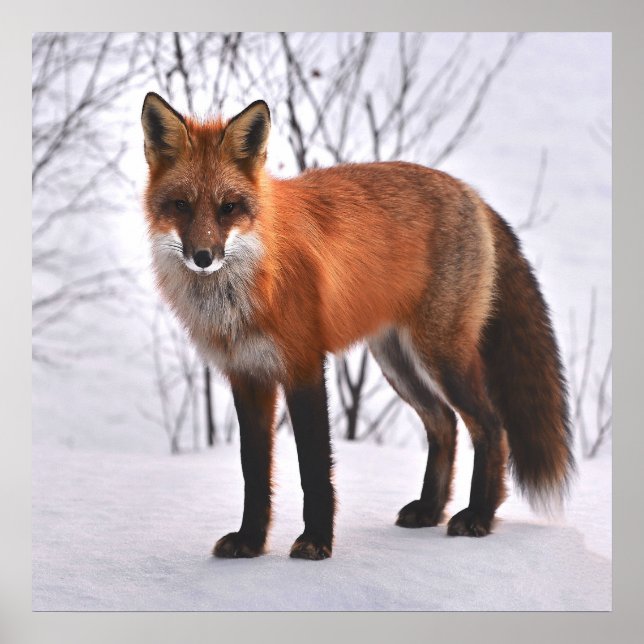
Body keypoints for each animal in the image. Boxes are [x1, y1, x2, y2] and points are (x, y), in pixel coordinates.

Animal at [141, 92, 574, 560]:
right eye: (181, 205)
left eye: (228, 208)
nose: (203, 257)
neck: (244, 290)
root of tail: (471, 193)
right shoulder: (247, 375)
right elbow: (253, 473)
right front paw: (251, 541)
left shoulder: (304, 365)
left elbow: (314, 469)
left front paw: (316, 541)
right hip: (397, 362)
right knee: (444, 424)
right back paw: (430, 509)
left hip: (442, 356)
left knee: (491, 427)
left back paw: (478, 516)